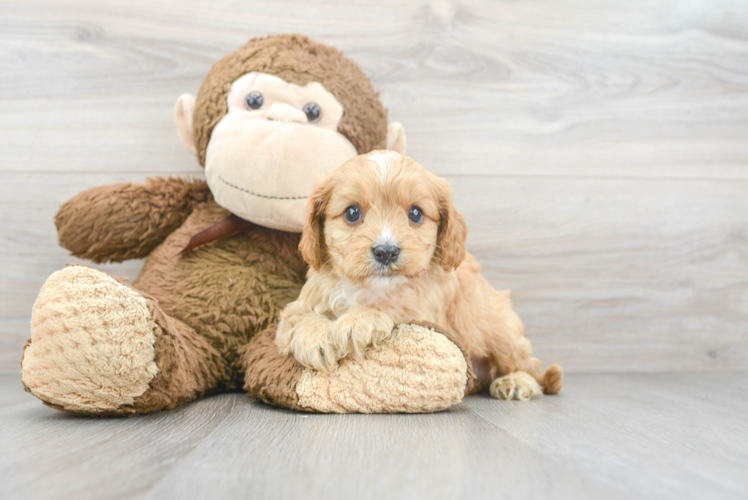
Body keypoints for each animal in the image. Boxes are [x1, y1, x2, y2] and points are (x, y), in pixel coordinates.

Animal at [278, 150, 564, 400]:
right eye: (352, 212)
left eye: (415, 213)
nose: (386, 252)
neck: (368, 287)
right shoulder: (297, 307)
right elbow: (299, 318)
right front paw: (316, 339)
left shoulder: (424, 309)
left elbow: (392, 303)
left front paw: (356, 322)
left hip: (503, 333)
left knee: (530, 366)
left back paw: (517, 382)